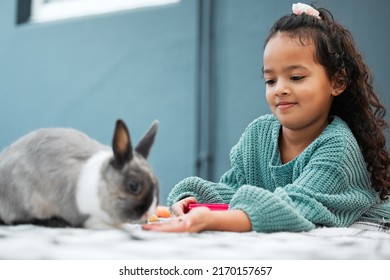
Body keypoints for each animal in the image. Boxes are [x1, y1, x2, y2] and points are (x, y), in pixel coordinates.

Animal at [0, 119, 160, 229]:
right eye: (134, 186)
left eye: (157, 186)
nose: (147, 214)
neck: (103, 185)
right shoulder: (84, 214)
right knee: (16, 220)